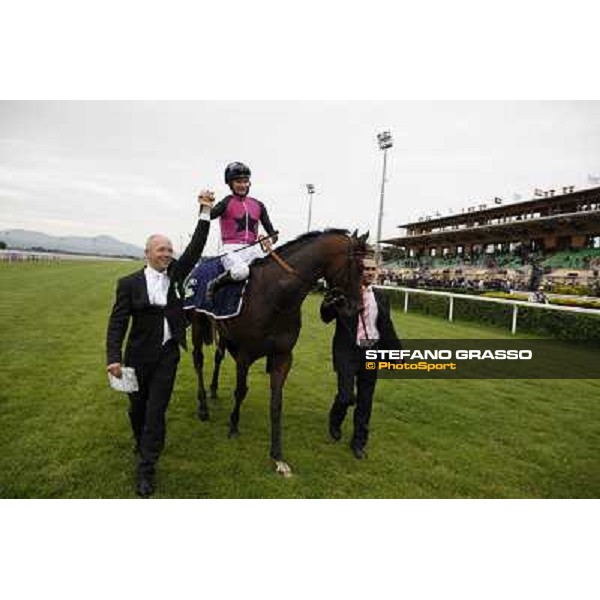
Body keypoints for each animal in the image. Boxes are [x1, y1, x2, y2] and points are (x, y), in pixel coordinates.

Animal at [190, 227, 368, 476]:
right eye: (359, 267)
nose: (358, 307)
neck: (275, 296)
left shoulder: (283, 357)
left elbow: (276, 403)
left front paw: (277, 455)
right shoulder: (245, 354)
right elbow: (240, 391)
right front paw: (233, 425)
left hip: (222, 333)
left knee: (217, 357)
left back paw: (214, 390)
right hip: (197, 323)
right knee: (198, 360)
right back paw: (203, 406)